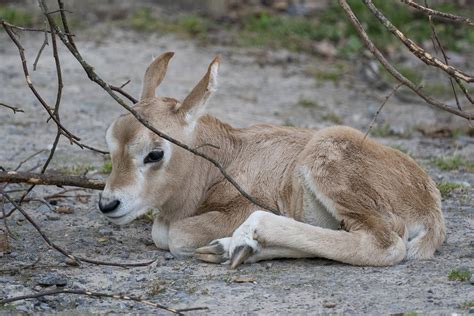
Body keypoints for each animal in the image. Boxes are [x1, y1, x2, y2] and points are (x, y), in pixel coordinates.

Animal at [98, 52, 446, 270]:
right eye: (110, 143)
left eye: (155, 153)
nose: (108, 204)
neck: (226, 158)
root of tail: (429, 202)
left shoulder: (243, 205)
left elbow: (172, 235)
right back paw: (230, 249)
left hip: (328, 158)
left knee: (386, 244)